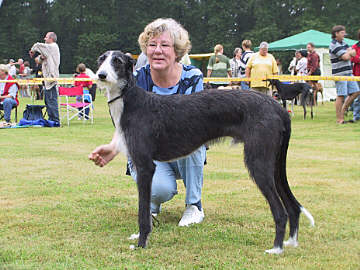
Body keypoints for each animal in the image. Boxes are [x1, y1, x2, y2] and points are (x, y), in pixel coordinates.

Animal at [94, 50, 314, 255]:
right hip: (274, 164)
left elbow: (142, 212)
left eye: (117, 61)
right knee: (293, 206)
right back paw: (290, 242)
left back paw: (276, 249)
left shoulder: (145, 167)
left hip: (259, 162)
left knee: (280, 211)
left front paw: (141, 244)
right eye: (101, 59)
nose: (101, 75)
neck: (130, 100)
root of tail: (278, 108)